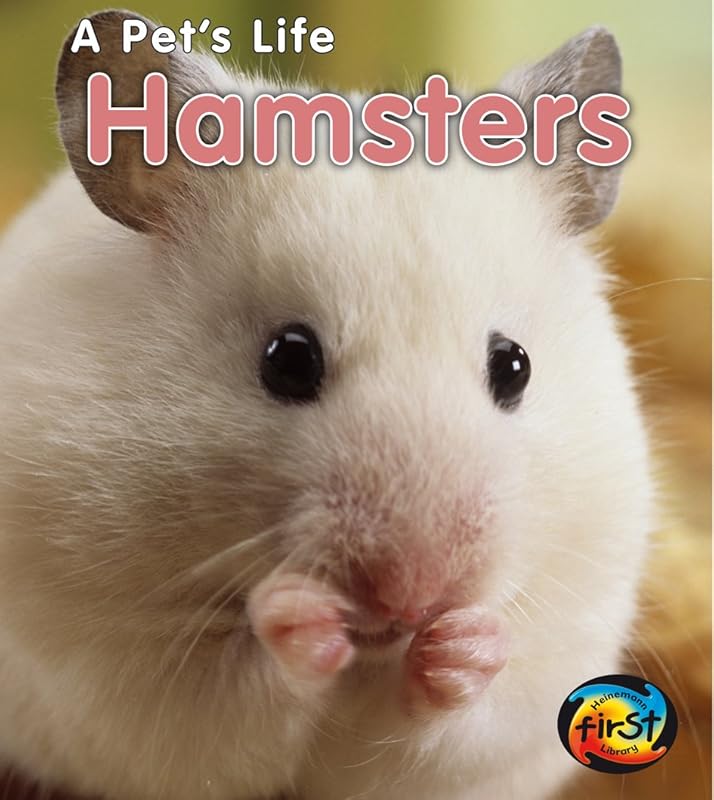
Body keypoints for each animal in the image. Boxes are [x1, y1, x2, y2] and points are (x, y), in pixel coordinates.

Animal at [0, 11, 653, 800]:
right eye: (287, 359)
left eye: (514, 366)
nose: (413, 598)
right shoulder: (115, 674)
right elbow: (230, 694)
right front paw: (297, 617)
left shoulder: (551, 650)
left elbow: (463, 718)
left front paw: (464, 644)